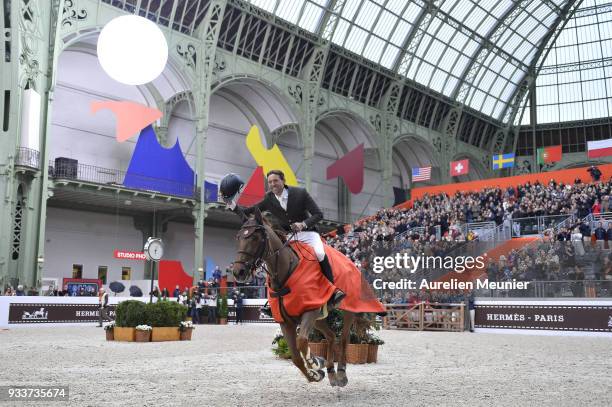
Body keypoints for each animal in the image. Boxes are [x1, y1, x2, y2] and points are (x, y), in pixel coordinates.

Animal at [232, 209, 358, 388]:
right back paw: (331, 374)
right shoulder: (286, 322)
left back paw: (341, 374)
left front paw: (314, 363)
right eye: (238, 237)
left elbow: (302, 341)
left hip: (347, 309)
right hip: (320, 318)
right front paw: (315, 374)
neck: (285, 273)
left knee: (344, 338)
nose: (238, 272)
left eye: (255, 238)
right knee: (331, 336)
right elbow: (296, 356)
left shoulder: (310, 310)